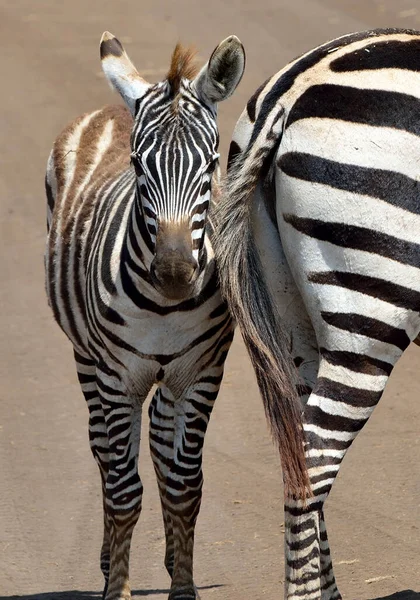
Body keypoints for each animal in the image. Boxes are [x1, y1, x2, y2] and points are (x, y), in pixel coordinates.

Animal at [44, 32, 244, 600]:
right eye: (137, 164)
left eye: (213, 164)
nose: (175, 272)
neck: (166, 306)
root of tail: (118, 104)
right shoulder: (118, 377)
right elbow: (123, 487)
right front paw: (119, 589)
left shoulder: (201, 373)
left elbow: (184, 484)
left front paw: (184, 586)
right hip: (87, 360)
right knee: (105, 453)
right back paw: (109, 560)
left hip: (168, 377)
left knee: (156, 442)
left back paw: (173, 557)